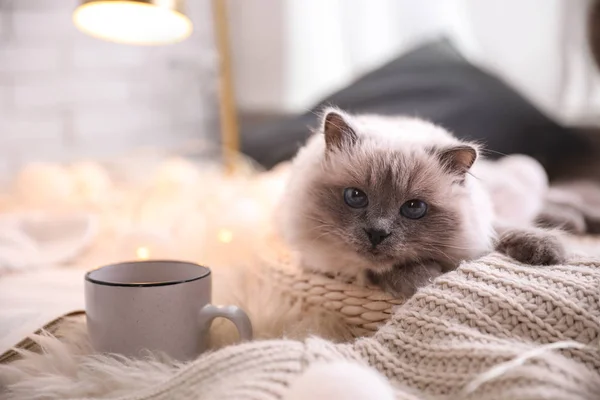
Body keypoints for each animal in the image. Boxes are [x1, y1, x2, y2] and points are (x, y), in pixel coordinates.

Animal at [278, 107, 564, 296]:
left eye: (414, 208)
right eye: (356, 197)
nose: (377, 233)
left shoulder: (483, 226)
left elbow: (506, 230)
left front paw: (548, 251)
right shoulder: (331, 264)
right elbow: (389, 271)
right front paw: (427, 278)